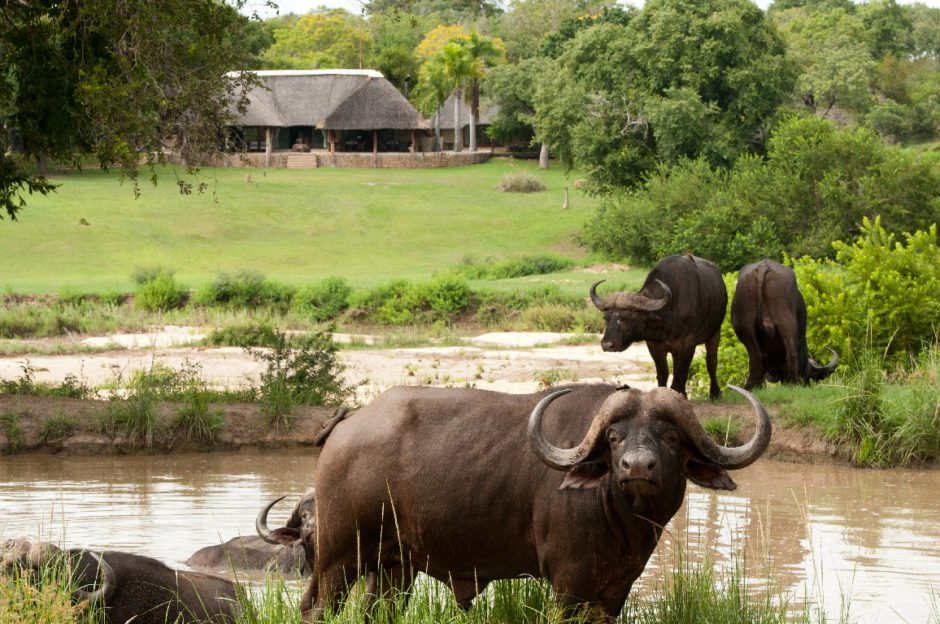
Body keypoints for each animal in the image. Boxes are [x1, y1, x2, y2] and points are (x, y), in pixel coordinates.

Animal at [296, 382, 772, 620]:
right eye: (614, 438)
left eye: (671, 436)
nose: (637, 466)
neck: (622, 524)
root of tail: (345, 428)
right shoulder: (569, 584)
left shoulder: (615, 591)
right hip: (338, 559)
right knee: (315, 609)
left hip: (395, 568)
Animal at [592, 254, 732, 400]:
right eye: (606, 318)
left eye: (628, 318)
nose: (607, 345)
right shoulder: (654, 345)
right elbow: (663, 372)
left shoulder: (688, 343)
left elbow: (681, 373)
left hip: (715, 332)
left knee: (711, 361)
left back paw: (715, 393)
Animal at [732, 260, 840, 390]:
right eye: (808, 375)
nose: (806, 384)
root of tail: (764, 266)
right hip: (787, 322)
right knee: (791, 353)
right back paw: (791, 383)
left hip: (746, 328)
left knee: (755, 357)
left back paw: (751, 386)